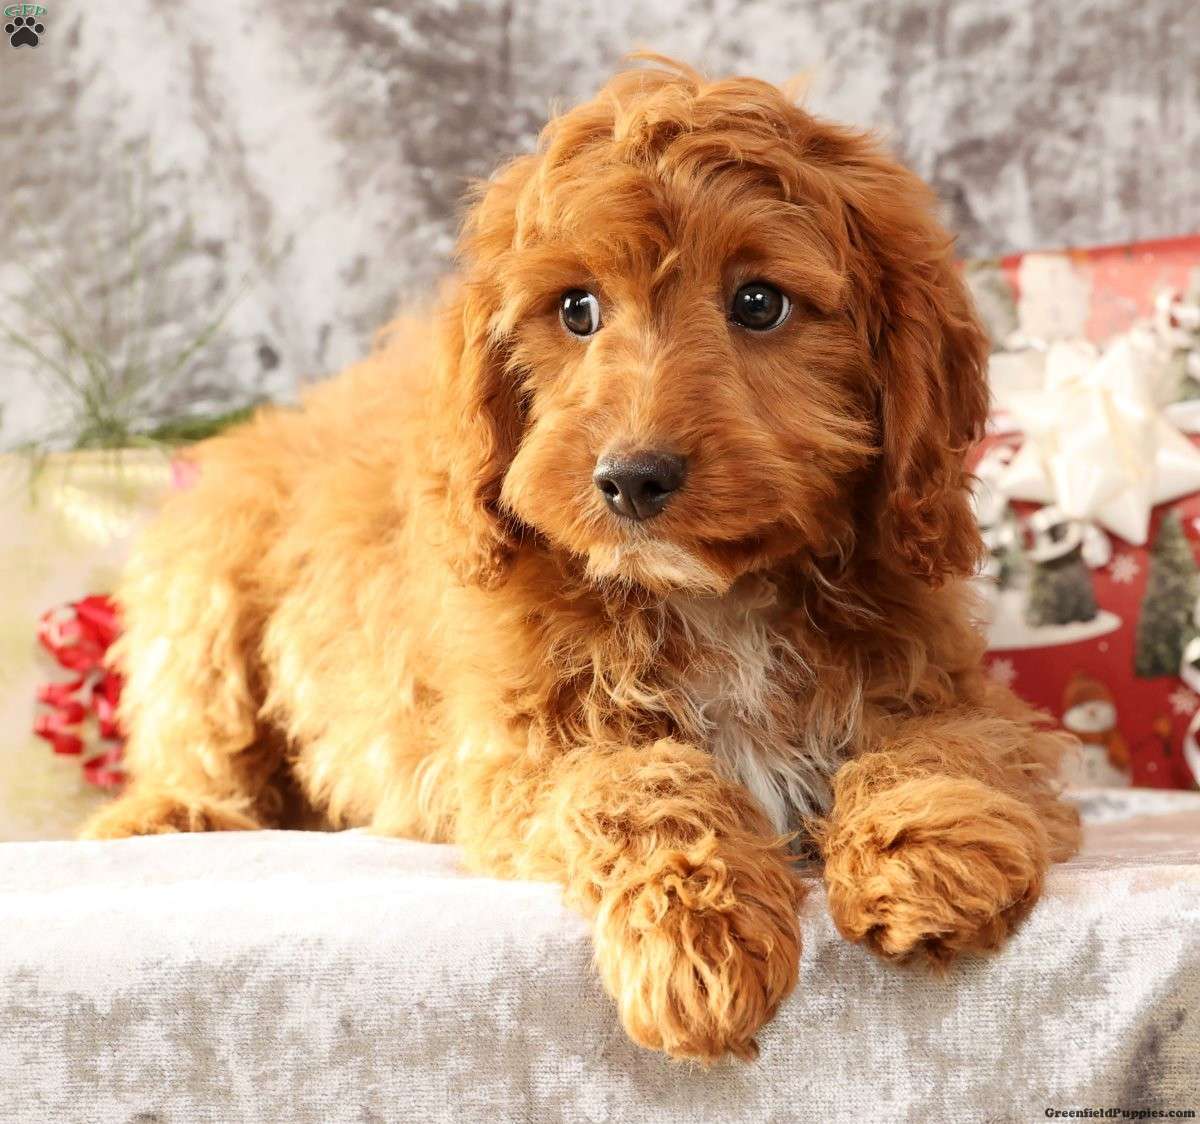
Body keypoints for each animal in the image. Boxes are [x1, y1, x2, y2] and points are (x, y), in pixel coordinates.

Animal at [83, 56, 1081, 1062]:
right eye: (577, 309)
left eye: (760, 303)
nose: (632, 479)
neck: (714, 597)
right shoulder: (518, 754)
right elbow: (635, 784)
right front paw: (700, 939)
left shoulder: (939, 672)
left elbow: (949, 740)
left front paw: (929, 852)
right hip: (205, 571)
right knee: (196, 717)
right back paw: (169, 811)